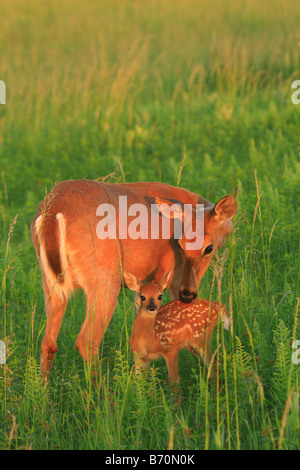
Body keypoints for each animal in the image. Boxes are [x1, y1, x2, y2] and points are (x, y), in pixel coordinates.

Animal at [31, 178, 237, 380]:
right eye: (179, 245)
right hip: (105, 275)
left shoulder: (146, 282)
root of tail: (54, 212)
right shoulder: (171, 275)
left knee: (48, 343)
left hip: (51, 284)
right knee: (87, 341)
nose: (187, 294)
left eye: (208, 247)